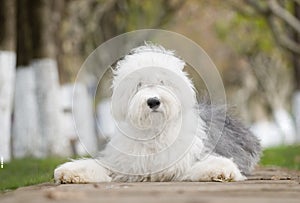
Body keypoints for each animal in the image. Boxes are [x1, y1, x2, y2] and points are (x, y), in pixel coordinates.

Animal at [54, 43, 260, 183]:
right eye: (139, 84)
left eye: (163, 82)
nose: (153, 101)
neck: (155, 132)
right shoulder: (122, 164)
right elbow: (97, 165)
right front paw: (70, 172)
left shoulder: (183, 162)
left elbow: (204, 165)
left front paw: (220, 170)